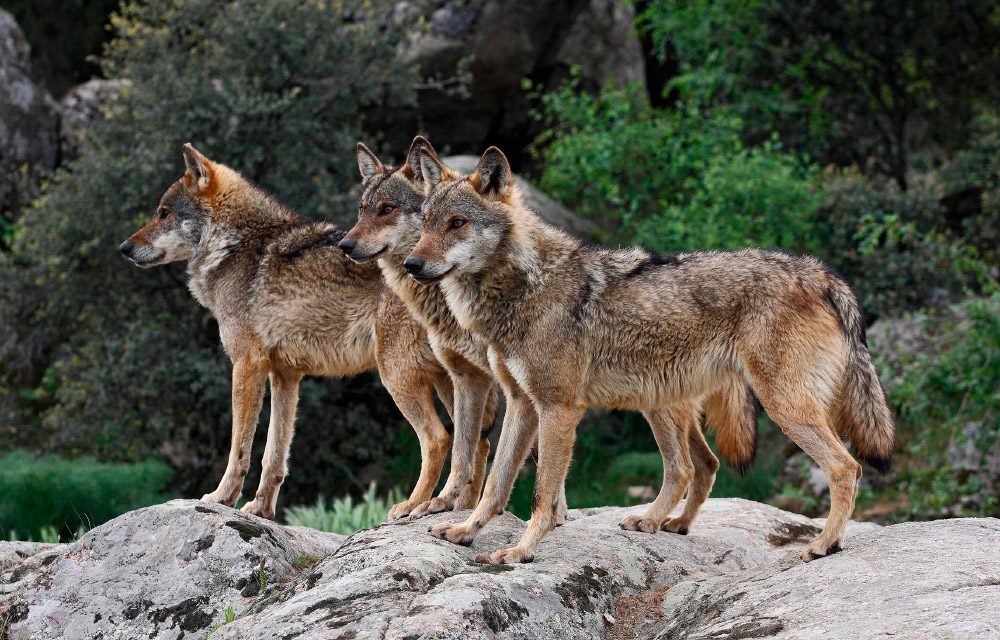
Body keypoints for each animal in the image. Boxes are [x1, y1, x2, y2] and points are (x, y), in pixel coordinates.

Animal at [119, 145, 458, 520]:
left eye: (164, 214)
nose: (124, 248)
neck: (235, 246)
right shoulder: (285, 375)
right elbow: (274, 454)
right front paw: (261, 509)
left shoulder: (246, 366)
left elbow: (239, 448)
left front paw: (221, 498)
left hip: (397, 377)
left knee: (438, 438)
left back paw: (414, 506)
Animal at [402, 146, 896, 564]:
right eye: (425, 223)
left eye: (457, 223)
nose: (410, 264)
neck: (526, 285)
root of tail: (820, 273)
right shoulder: (523, 404)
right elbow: (495, 483)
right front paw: (465, 531)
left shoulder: (559, 408)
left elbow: (543, 493)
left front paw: (521, 551)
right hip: (661, 401)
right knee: (689, 468)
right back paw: (661, 522)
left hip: (779, 406)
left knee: (845, 467)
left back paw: (824, 544)